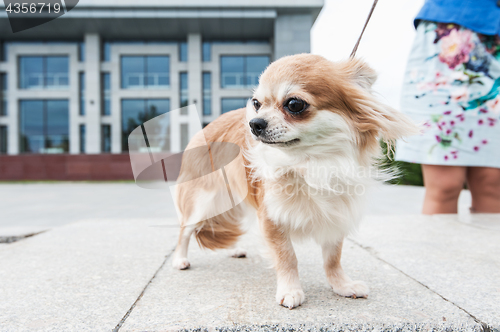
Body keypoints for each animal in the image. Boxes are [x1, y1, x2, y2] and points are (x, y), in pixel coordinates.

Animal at [172, 53, 418, 308]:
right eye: (256, 104)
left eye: (294, 104)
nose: (254, 123)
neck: (309, 163)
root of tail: (205, 128)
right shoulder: (271, 216)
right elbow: (287, 256)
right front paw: (290, 290)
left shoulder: (336, 214)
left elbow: (333, 257)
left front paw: (341, 285)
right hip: (202, 201)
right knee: (185, 229)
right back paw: (180, 259)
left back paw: (235, 249)